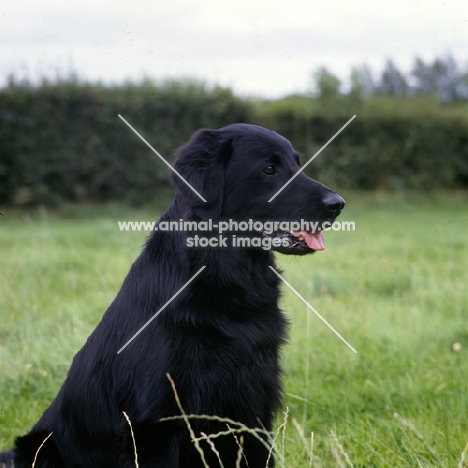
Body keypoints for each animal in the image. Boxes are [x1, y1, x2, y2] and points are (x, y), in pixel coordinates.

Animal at [0, 124, 344, 468]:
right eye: (269, 169)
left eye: (297, 162)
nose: (337, 204)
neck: (225, 277)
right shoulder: (155, 426)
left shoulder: (256, 409)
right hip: (43, 447)